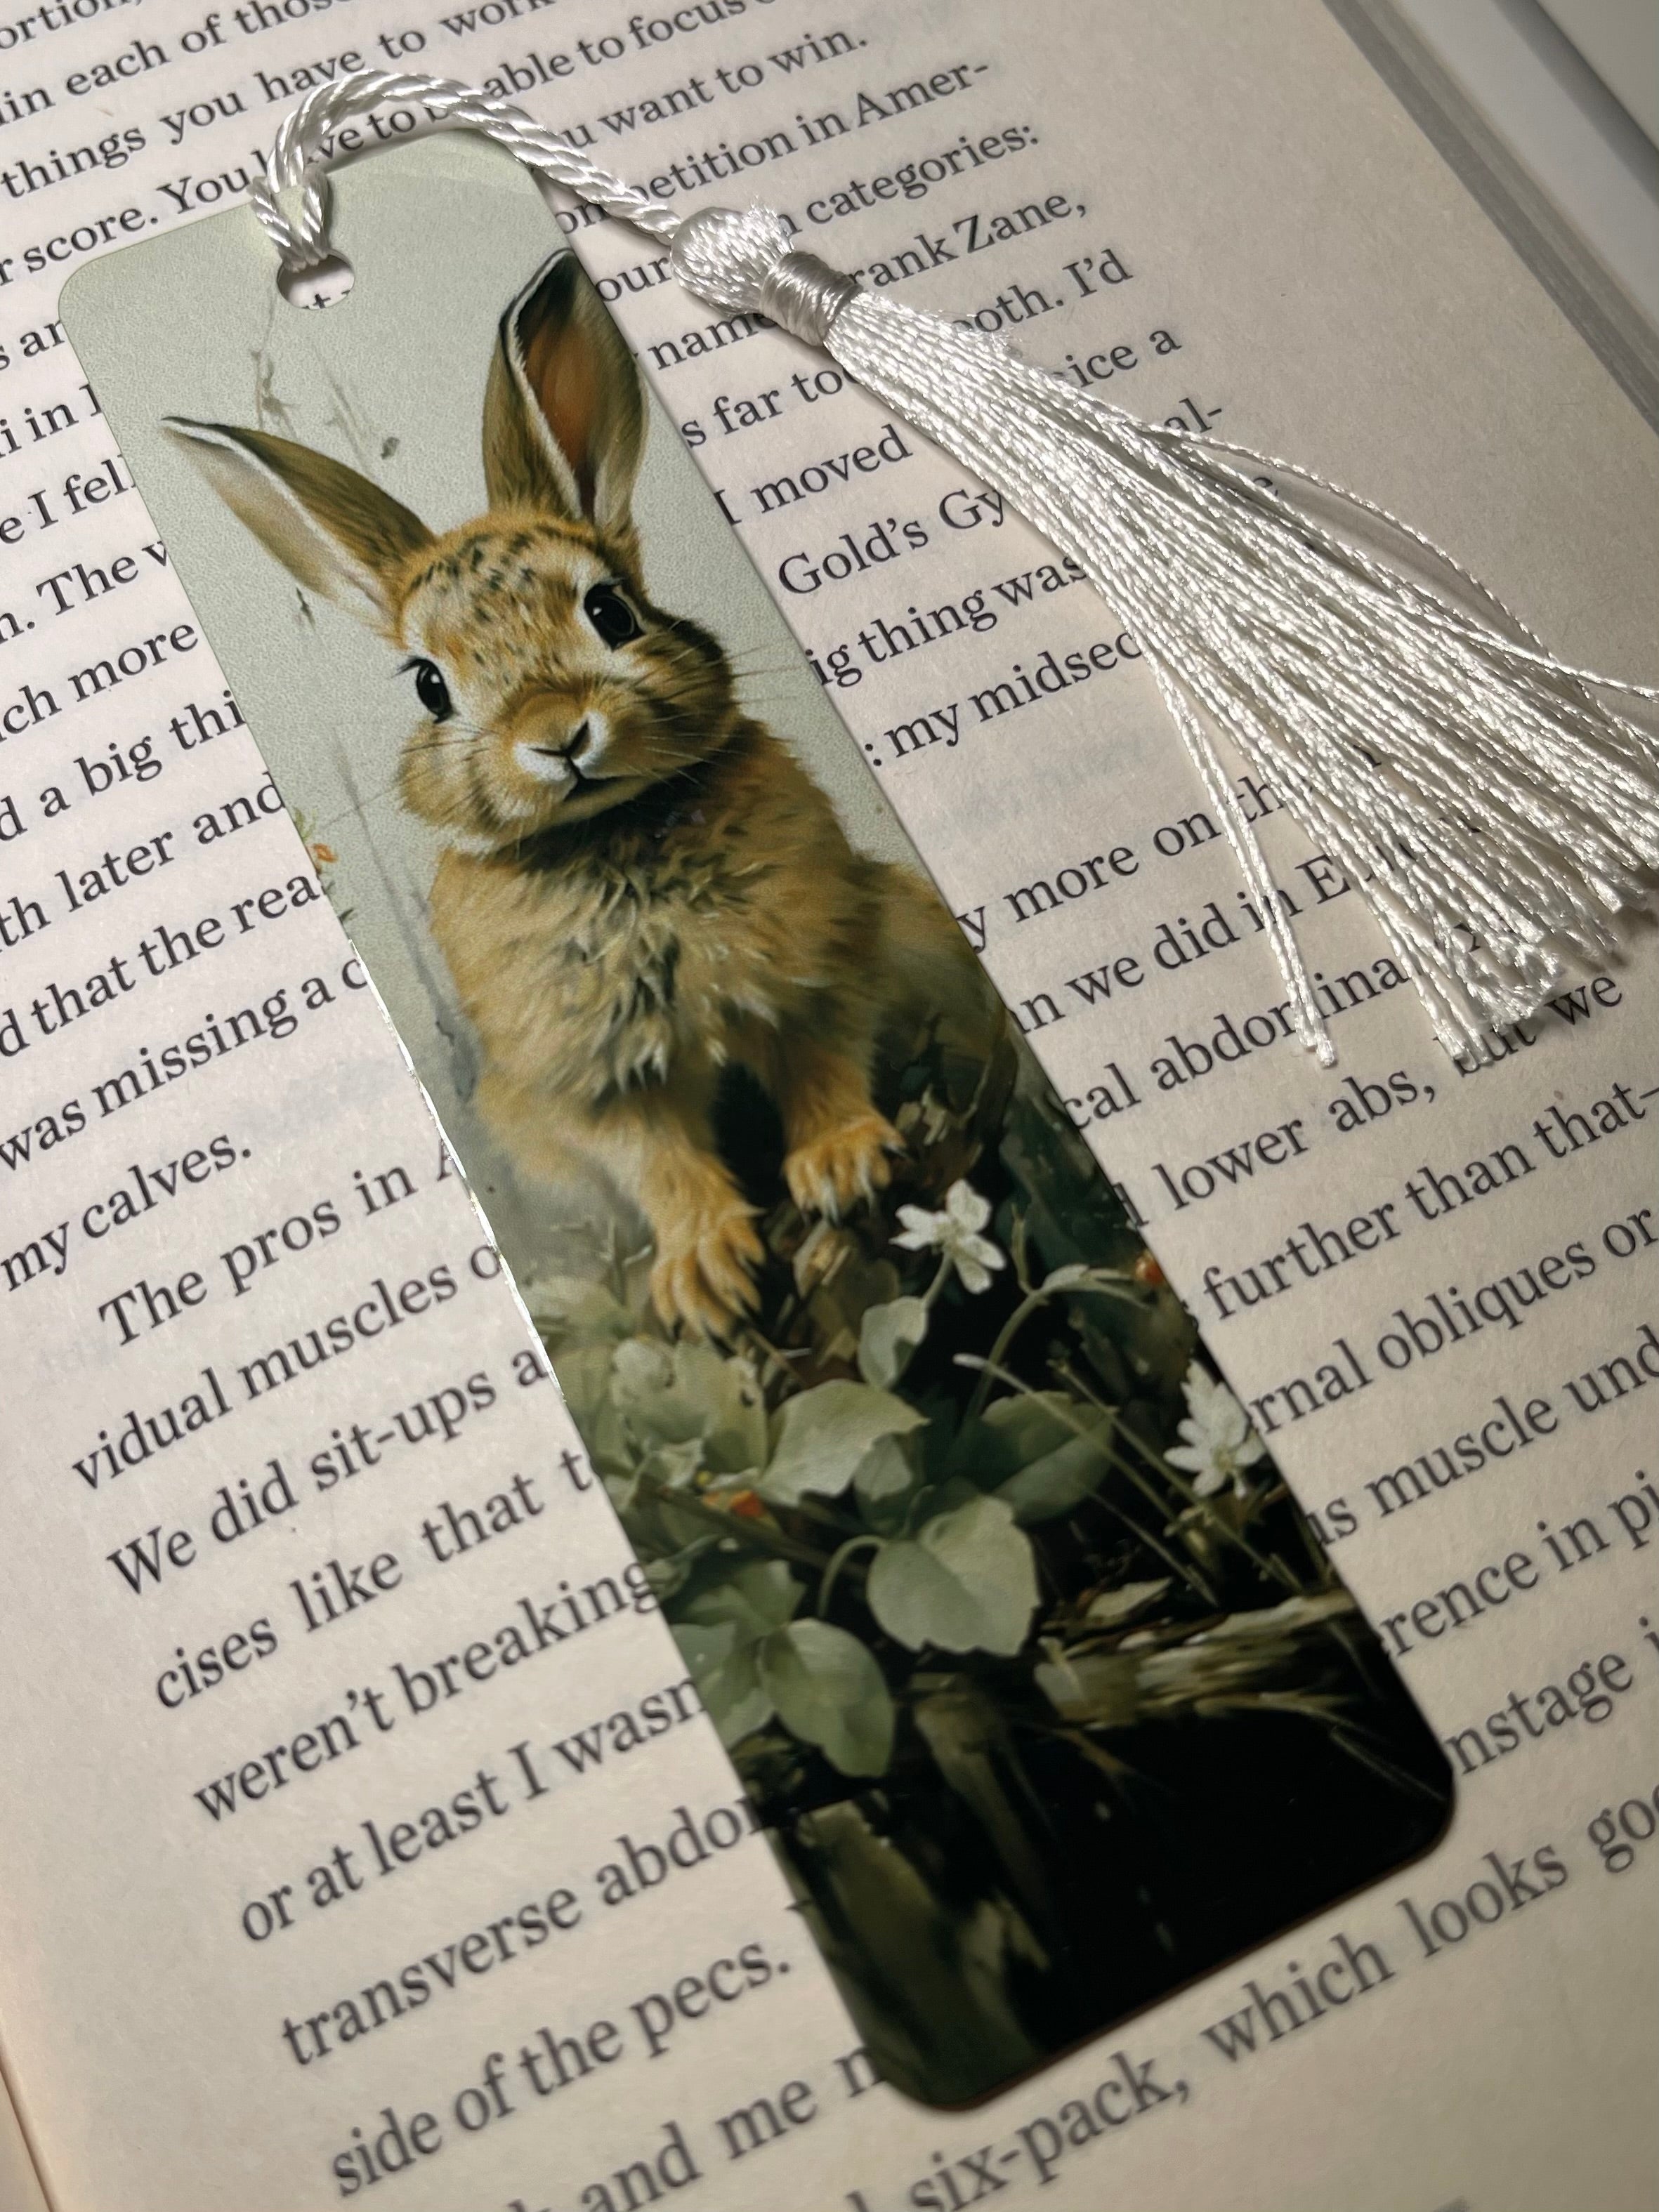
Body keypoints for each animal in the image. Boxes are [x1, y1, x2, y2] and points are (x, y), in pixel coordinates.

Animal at [167, 249, 1000, 1338]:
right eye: (429, 686)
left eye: (611, 611)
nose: (558, 736)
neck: (614, 835)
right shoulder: (591, 1081)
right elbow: (659, 1161)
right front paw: (704, 1275)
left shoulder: (813, 966)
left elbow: (820, 1065)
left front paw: (841, 1163)